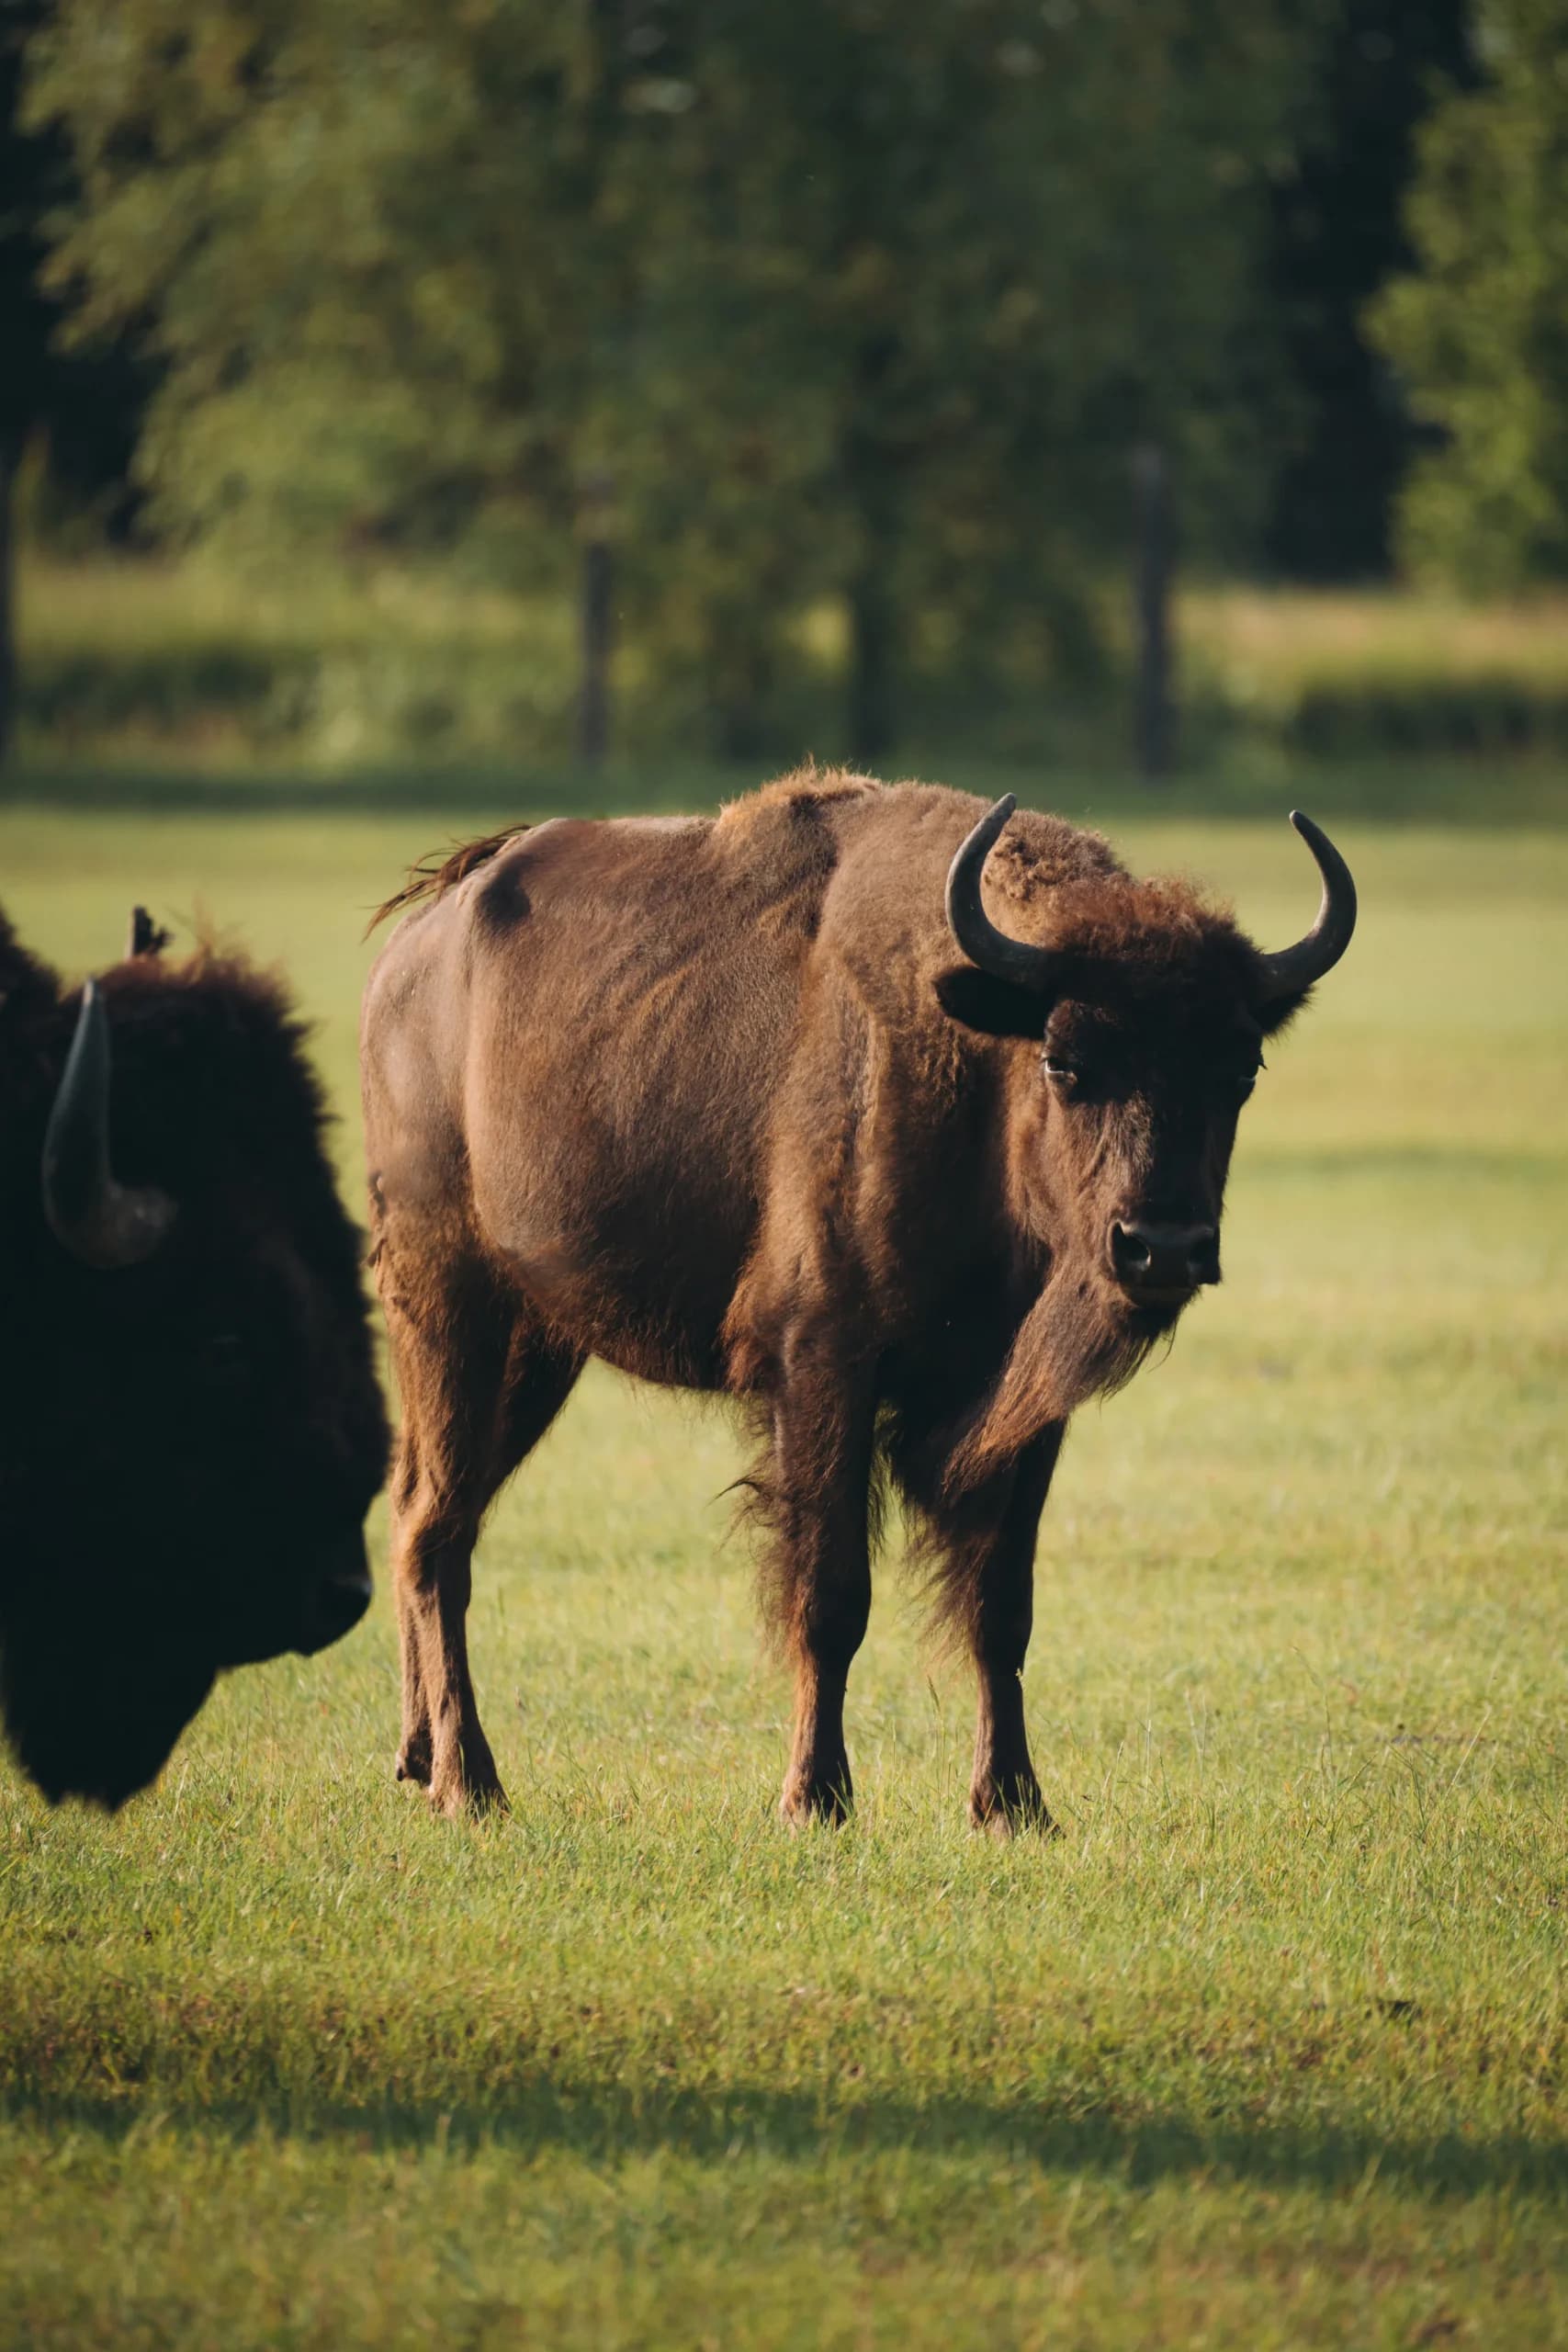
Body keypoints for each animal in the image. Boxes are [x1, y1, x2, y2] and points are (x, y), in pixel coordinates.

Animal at [362, 773, 1354, 1829]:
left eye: (1241, 1066)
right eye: (1064, 1060)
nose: (1162, 1245)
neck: (977, 1057)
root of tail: (417, 947)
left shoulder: (1025, 1407)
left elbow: (1002, 1607)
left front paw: (1014, 1805)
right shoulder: (822, 1364)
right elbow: (832, 1595)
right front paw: (815, 1797)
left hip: (537, 1346)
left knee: (422, 1508)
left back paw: (419, 1758)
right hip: (447, 1302)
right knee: (438, 1532)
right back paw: (472, 1783)